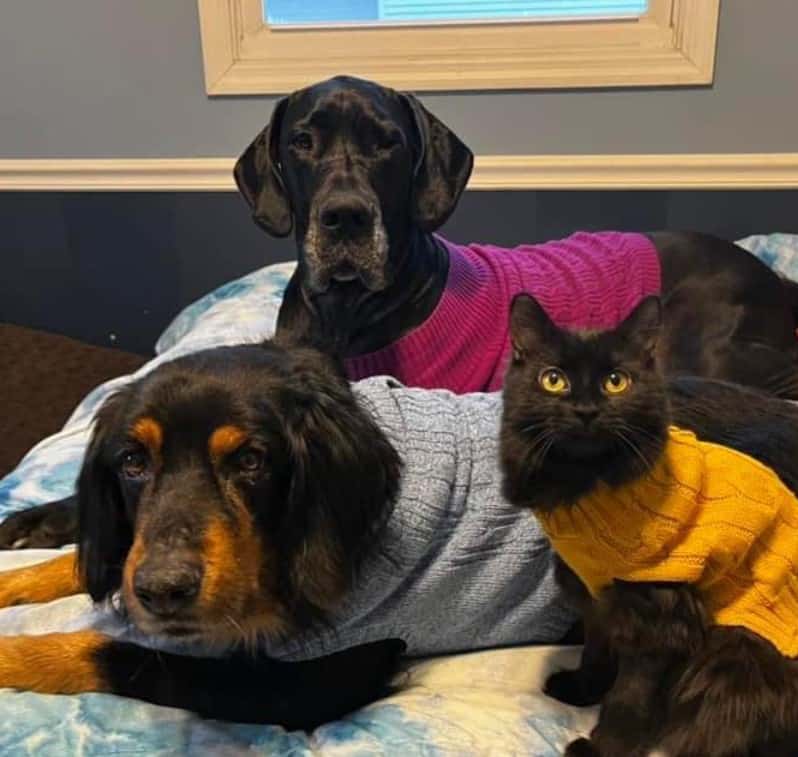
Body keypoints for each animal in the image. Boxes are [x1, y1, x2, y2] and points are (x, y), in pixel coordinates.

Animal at [504, 296, 798, 756]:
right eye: (553, 380)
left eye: (616, 382)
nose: (585, 411)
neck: (588, 485)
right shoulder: (596, 595)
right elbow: (596, 651)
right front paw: (582, 690)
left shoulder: (660, 616)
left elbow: (630, 695)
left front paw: (604, 747)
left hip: (731, 661)